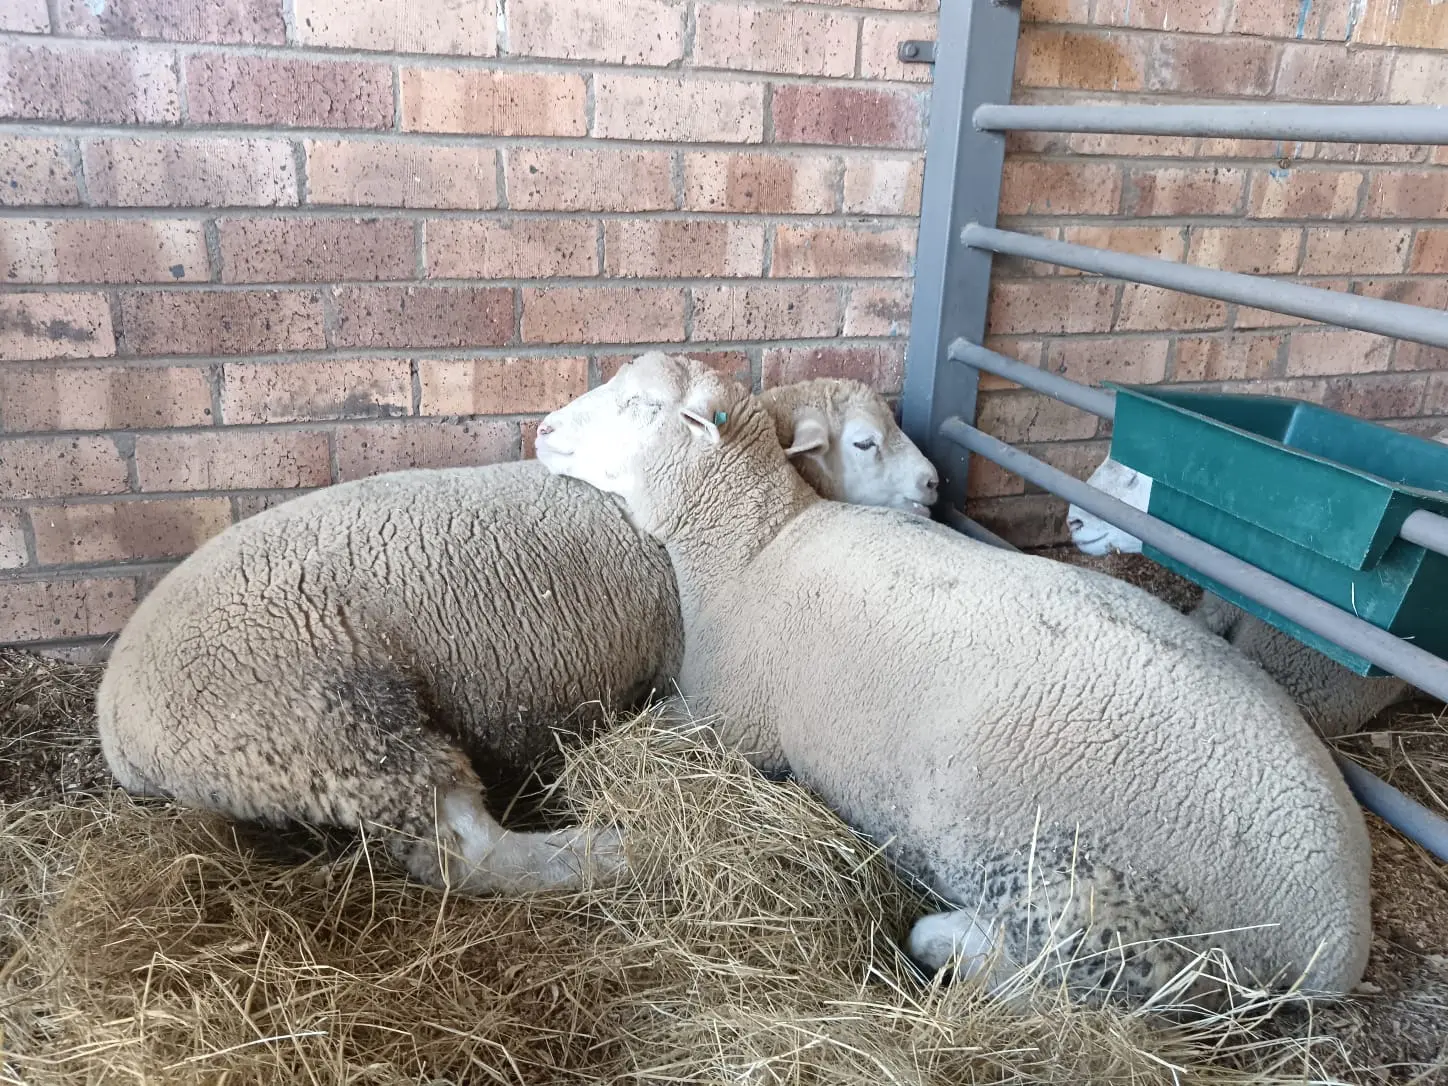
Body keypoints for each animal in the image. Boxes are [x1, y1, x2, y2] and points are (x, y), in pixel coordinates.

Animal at [97, 378, 939, 898]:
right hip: (342, 725)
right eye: (865, 443)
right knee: (471, 857)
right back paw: (612, 850)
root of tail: (117, 725)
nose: (934, 486)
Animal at [534, 351, 1373, 1005]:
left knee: (1061, 985)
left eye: (643, 405)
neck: (755, 547)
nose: (541, 429)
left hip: (1097, 900)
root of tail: (1339, 933)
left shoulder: (723, 721)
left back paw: (946, 943)